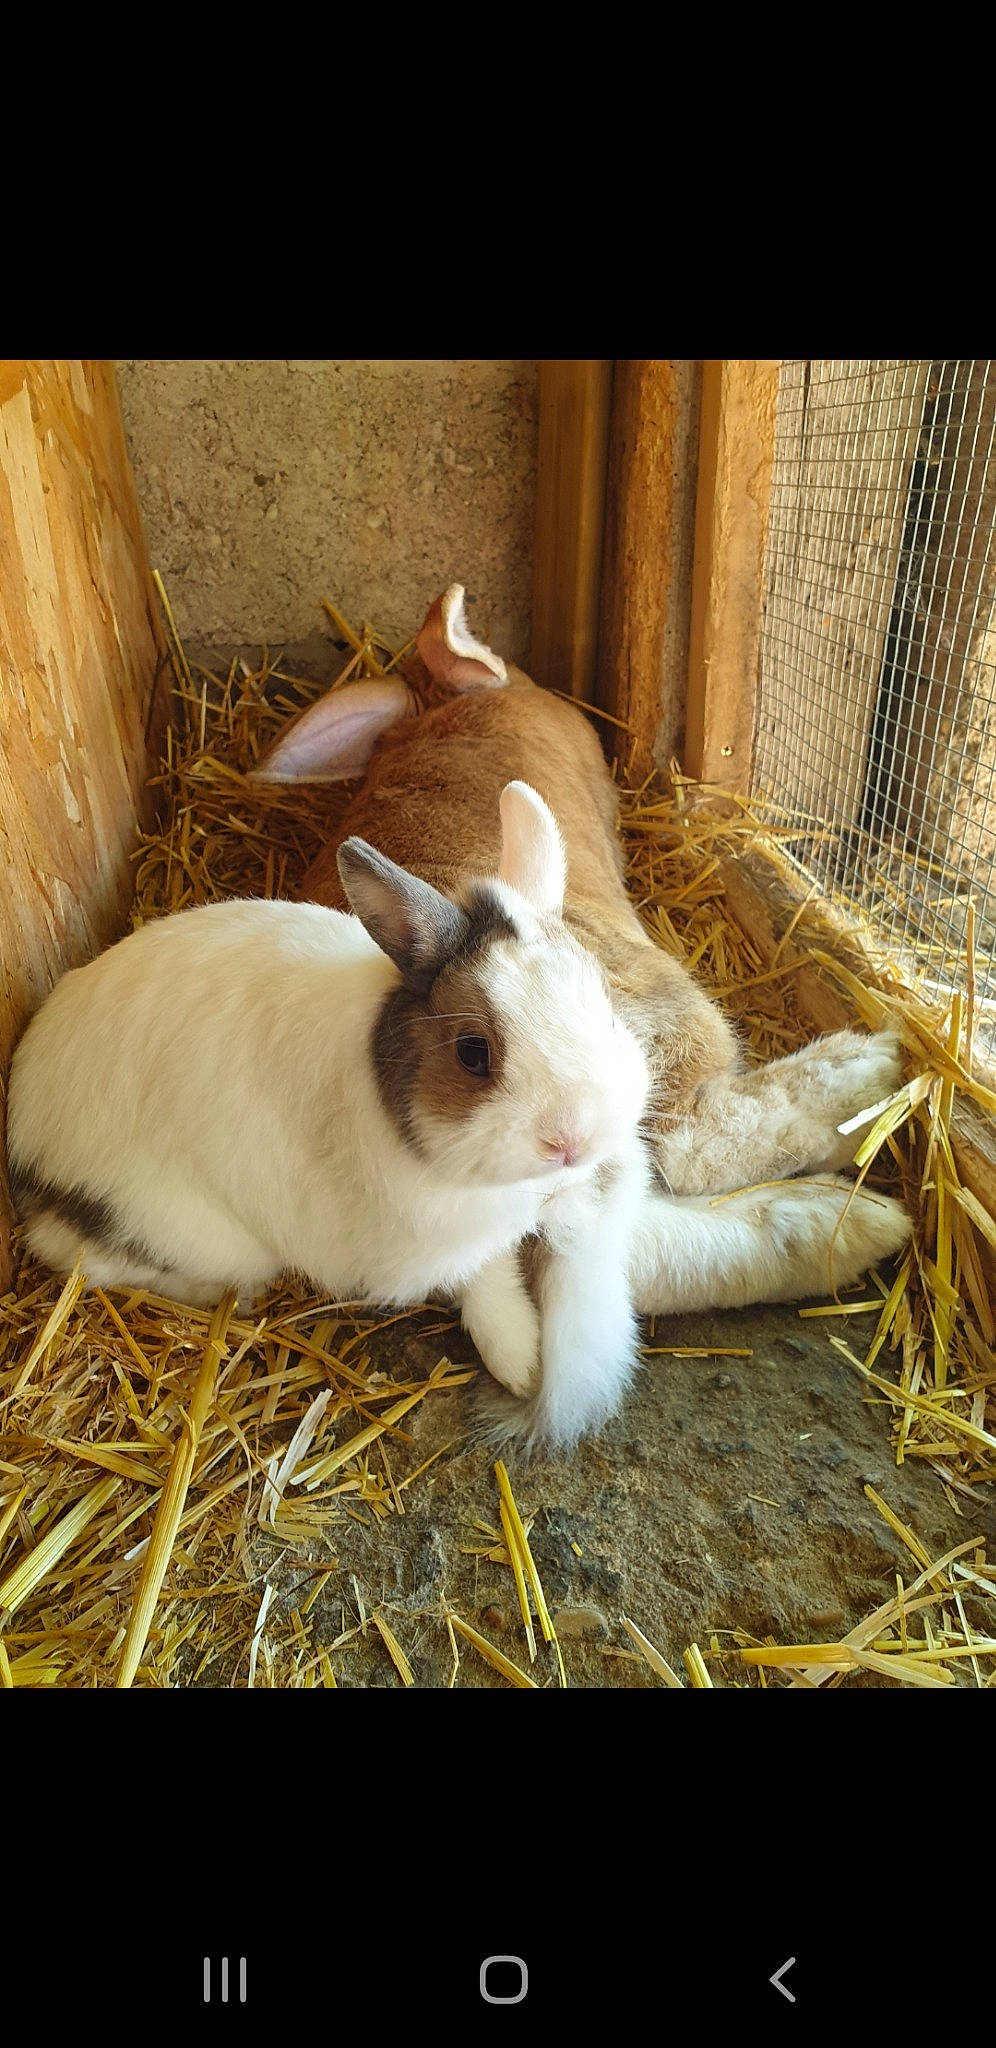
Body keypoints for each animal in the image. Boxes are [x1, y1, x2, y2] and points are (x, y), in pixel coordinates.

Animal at [7, 781, 657, 1448]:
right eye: (473, 1053)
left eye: (604, 1005)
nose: (574, 1139)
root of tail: (25, 1136)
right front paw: (524, 1369)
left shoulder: (481, 1241)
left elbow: (492, 1284)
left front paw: (523, 1365)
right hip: (184, 1231)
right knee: (89, 1260)